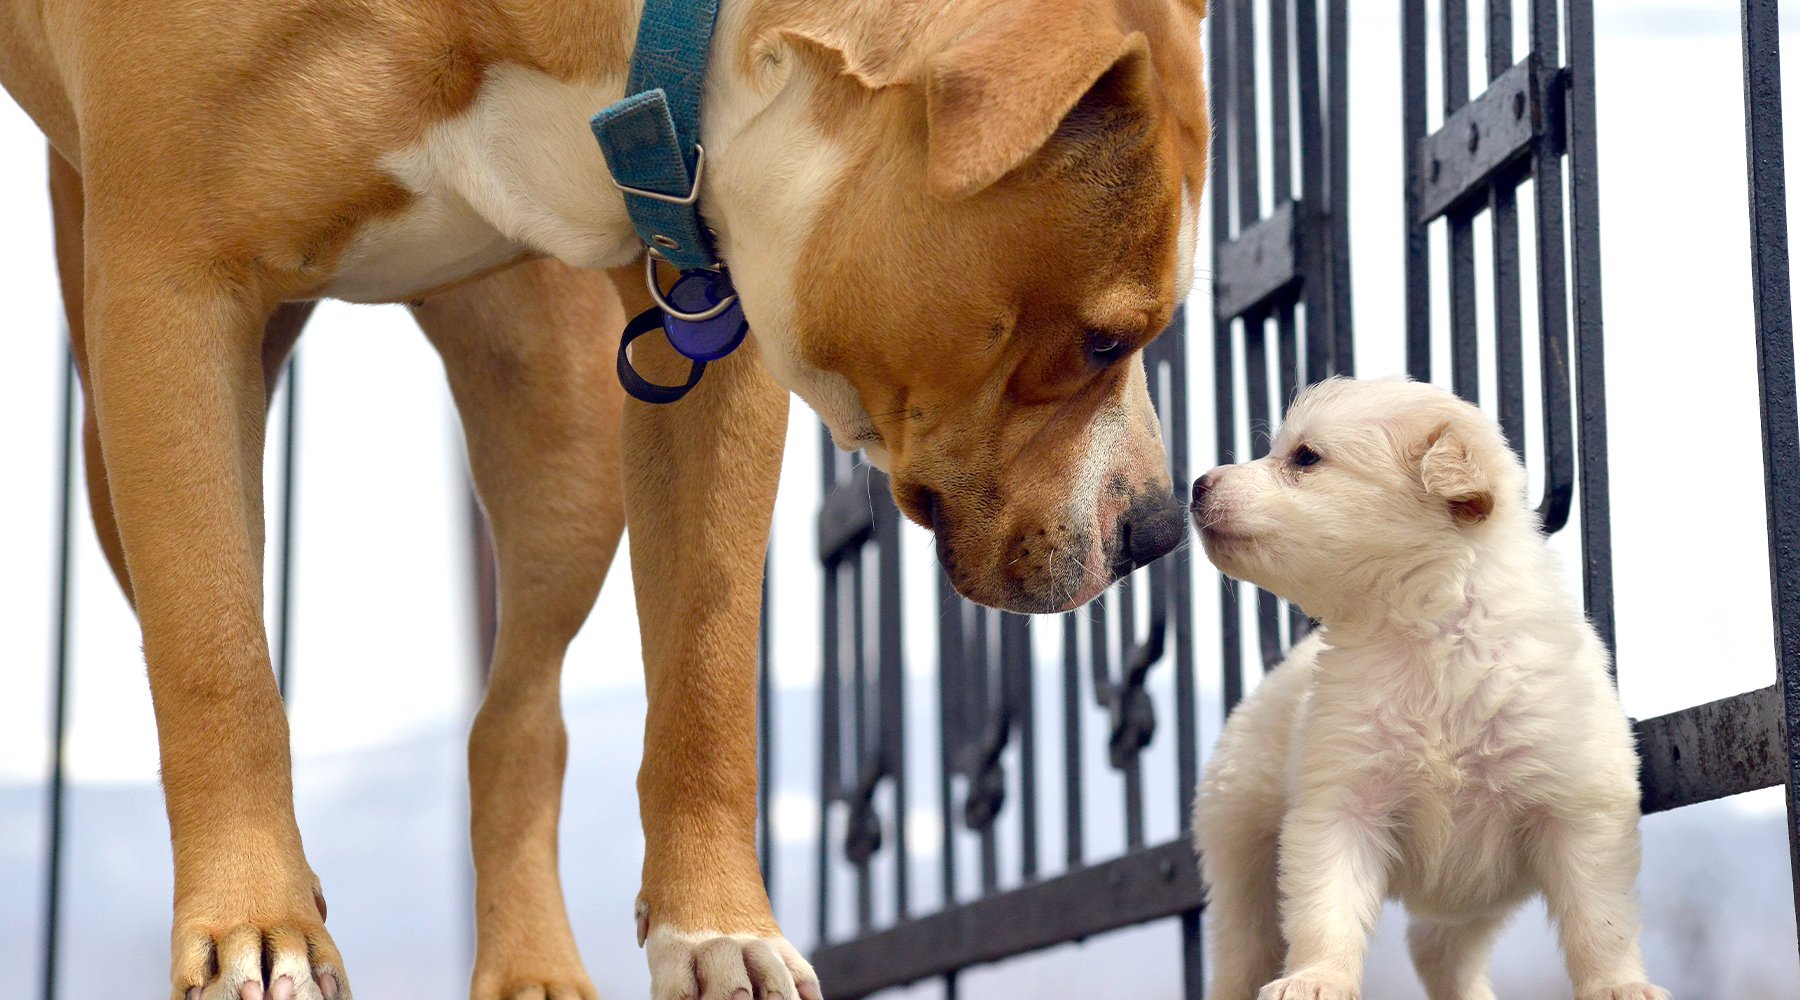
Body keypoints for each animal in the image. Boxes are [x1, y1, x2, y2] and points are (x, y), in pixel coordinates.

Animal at [3, 1, 1209, 1000]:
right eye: (1105, 339)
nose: (1158, 527)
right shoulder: (168, 297)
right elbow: (216, 656)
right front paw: (259, 922)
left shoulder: (709, 308)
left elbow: (707, 659)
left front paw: (718, 930)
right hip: (121, 439)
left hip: (558, 437)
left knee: (518, 714)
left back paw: (530, 967)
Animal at [1188, 377, 1663, 1000]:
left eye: (1306, 458)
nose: (1196, 485)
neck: (1426, 637)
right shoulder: (1341, 803)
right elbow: (1326, 909)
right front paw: (1317, 978)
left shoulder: (1579, 808)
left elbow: (1599, 919)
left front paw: (1619, 986)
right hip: (1239, 841)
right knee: (1244, 949)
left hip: (1476, 894)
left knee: (1439, 948)